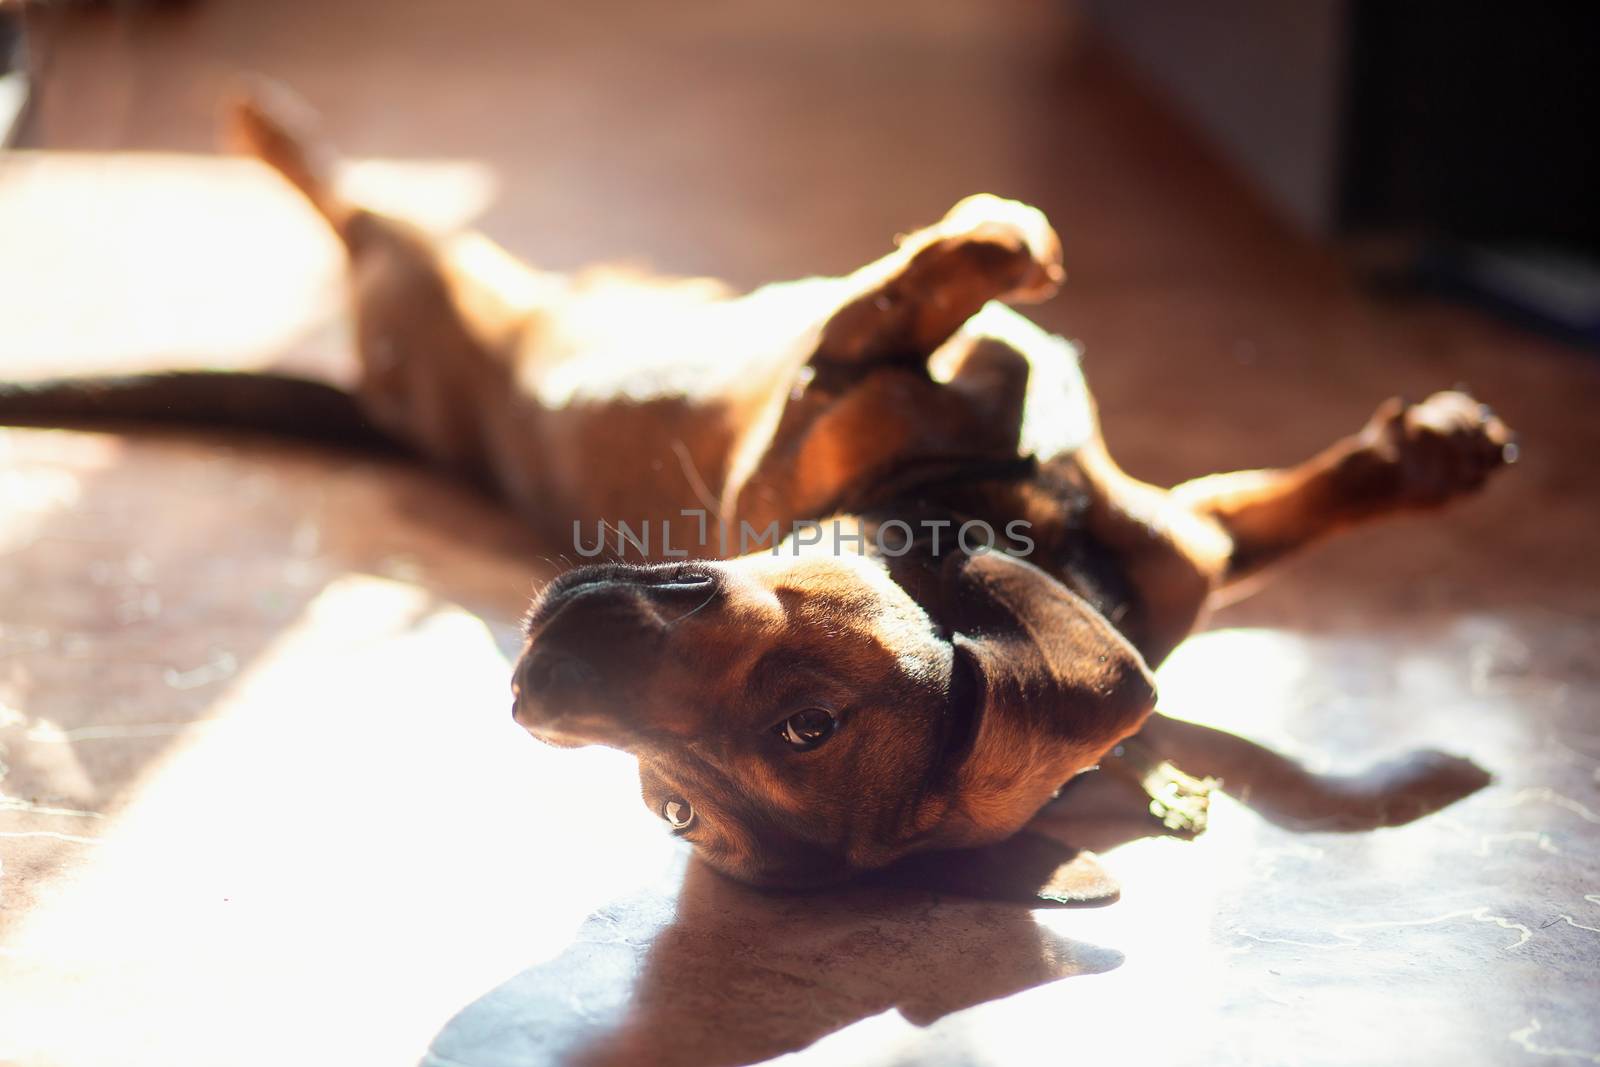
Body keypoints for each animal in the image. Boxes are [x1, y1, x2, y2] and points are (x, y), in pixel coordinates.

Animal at [0, 93, 1516, 895]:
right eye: (674, 808)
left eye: (800, 728)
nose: (533, 689)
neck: (1003, 523)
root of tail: (393, 412)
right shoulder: (837, 388)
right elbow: (921, 290)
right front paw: (999, 242)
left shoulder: (1159, 532)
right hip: (472, 282)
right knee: (358, 198)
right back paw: (268, 120)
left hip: (447, 287)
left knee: (361, 210)